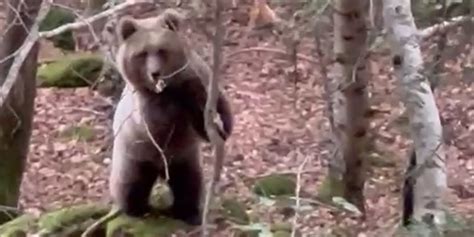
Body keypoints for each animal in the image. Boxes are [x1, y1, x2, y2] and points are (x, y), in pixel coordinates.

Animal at [108, 8, 233, 225]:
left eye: (161, 50)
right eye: (142, 53)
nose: (155, 73)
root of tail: (160, 171)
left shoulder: (197, 75)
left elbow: (216, 102)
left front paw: (223, 127)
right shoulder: (145, 106)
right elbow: (159, 120)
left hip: (184, 157)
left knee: (189, 183)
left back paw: (189, 212)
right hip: (133, 154)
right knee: (129, 183)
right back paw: (135, 209)